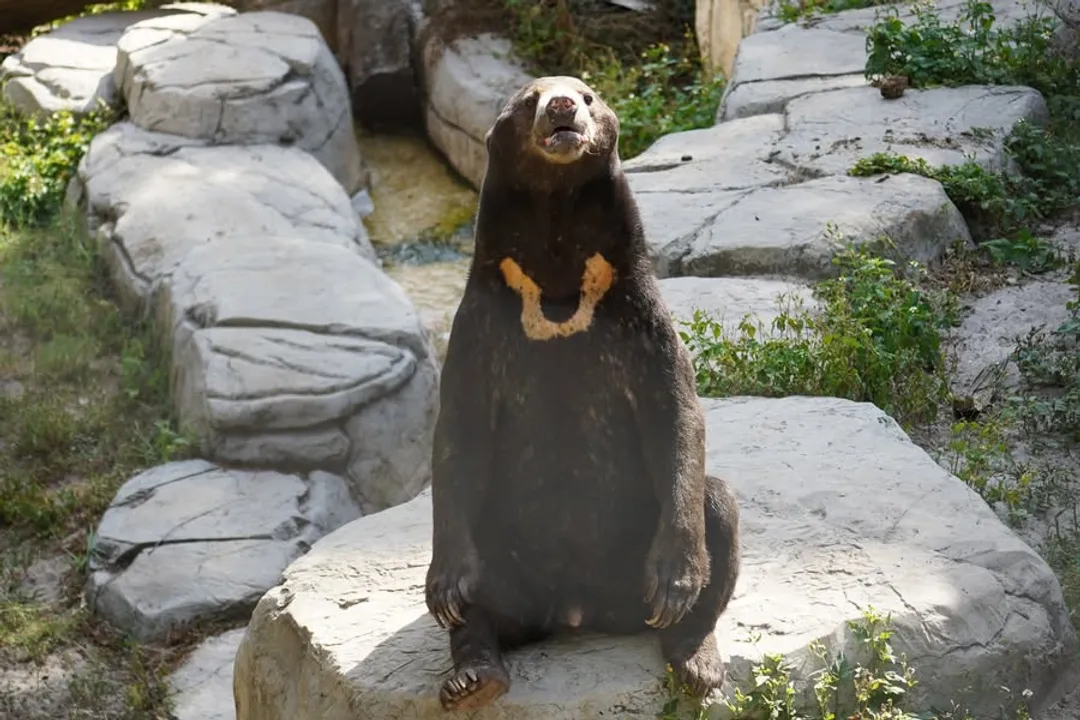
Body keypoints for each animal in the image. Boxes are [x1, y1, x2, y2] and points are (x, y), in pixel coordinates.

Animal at [424, 75, 741, 712]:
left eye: (588, 95)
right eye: (530, 99)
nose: (564, 107)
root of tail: (577, 611)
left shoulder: (638, 313)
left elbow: (677, 412)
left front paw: (676, 583)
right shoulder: (480, 321)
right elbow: (459, 430)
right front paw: (443, 587)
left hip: (634, 550)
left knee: (717, 504)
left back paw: (694, 657)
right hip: (506, 548)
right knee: (479, 585)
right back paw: (473, 676)